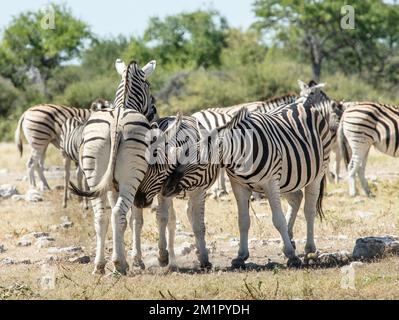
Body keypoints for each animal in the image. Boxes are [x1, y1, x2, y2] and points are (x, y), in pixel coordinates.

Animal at [70, 58, 159, 274]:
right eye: (149, 85)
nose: (154, 112)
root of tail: (116, 124)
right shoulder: (139, 187)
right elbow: (135, 221)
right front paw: (136, 260)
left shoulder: (110, 185)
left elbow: (121, 222)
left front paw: (123, 258)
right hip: (131, 179)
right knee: (118, 212)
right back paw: (118, 266)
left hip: (94, 174)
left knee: (101, 216)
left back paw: (100, 265)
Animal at [161, 85, 342, 268]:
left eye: (198, 163)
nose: (166, 187)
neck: (239, 153)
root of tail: (302, 105)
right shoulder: (238, 185)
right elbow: (243, 221)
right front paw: (241, 256)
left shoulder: (270, 183)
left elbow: (278, 219)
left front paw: (292, 256)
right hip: (287, 177)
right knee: (296, 197)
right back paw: (290, 239)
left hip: (317, 171)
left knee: (309, 209)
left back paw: (309, 249)